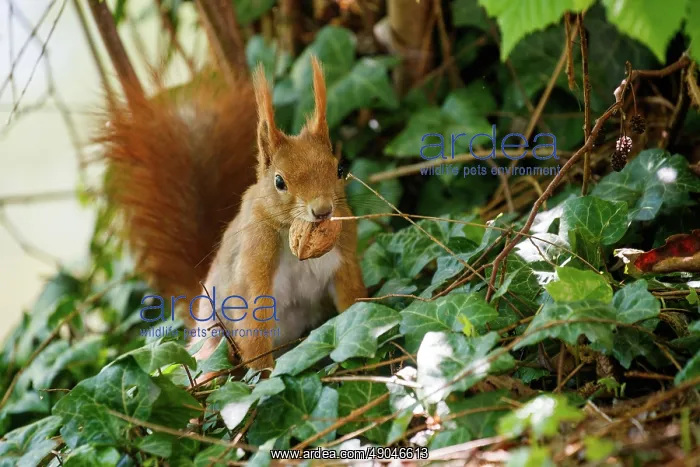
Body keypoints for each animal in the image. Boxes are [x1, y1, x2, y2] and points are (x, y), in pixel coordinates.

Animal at [99, 57, 367, 372]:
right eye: (279, 181)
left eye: (339, 169)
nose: (323, 210)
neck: (290, 234)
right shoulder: (253, 268)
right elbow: (255, 331)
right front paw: (266, 377)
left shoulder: (344, 259)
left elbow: (354, 303)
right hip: (213, 343)